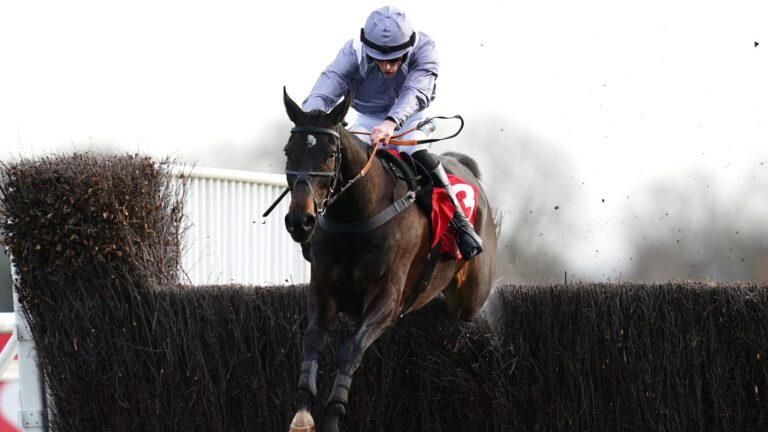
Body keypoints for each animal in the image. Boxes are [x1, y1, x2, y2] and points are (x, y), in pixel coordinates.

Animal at [282, 88, 498, 432]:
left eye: (330, 154)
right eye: (288, 151)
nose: (300, 221)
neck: (357, 214)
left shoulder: (387, 297)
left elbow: (350, 349)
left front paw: (333, 416)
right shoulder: (323, 289)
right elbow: (312, 341)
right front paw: (302, 414)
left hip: (472, 292)